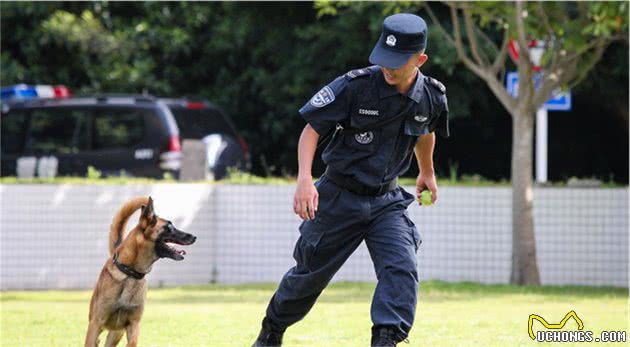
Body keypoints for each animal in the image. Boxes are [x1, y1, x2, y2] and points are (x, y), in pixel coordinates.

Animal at [84, 197, 195, 346]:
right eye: (169, 227)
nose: (194, 236)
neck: (129, 274)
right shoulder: (95, 324)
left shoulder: (134, 324)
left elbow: (132, 342)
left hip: (115, 334)